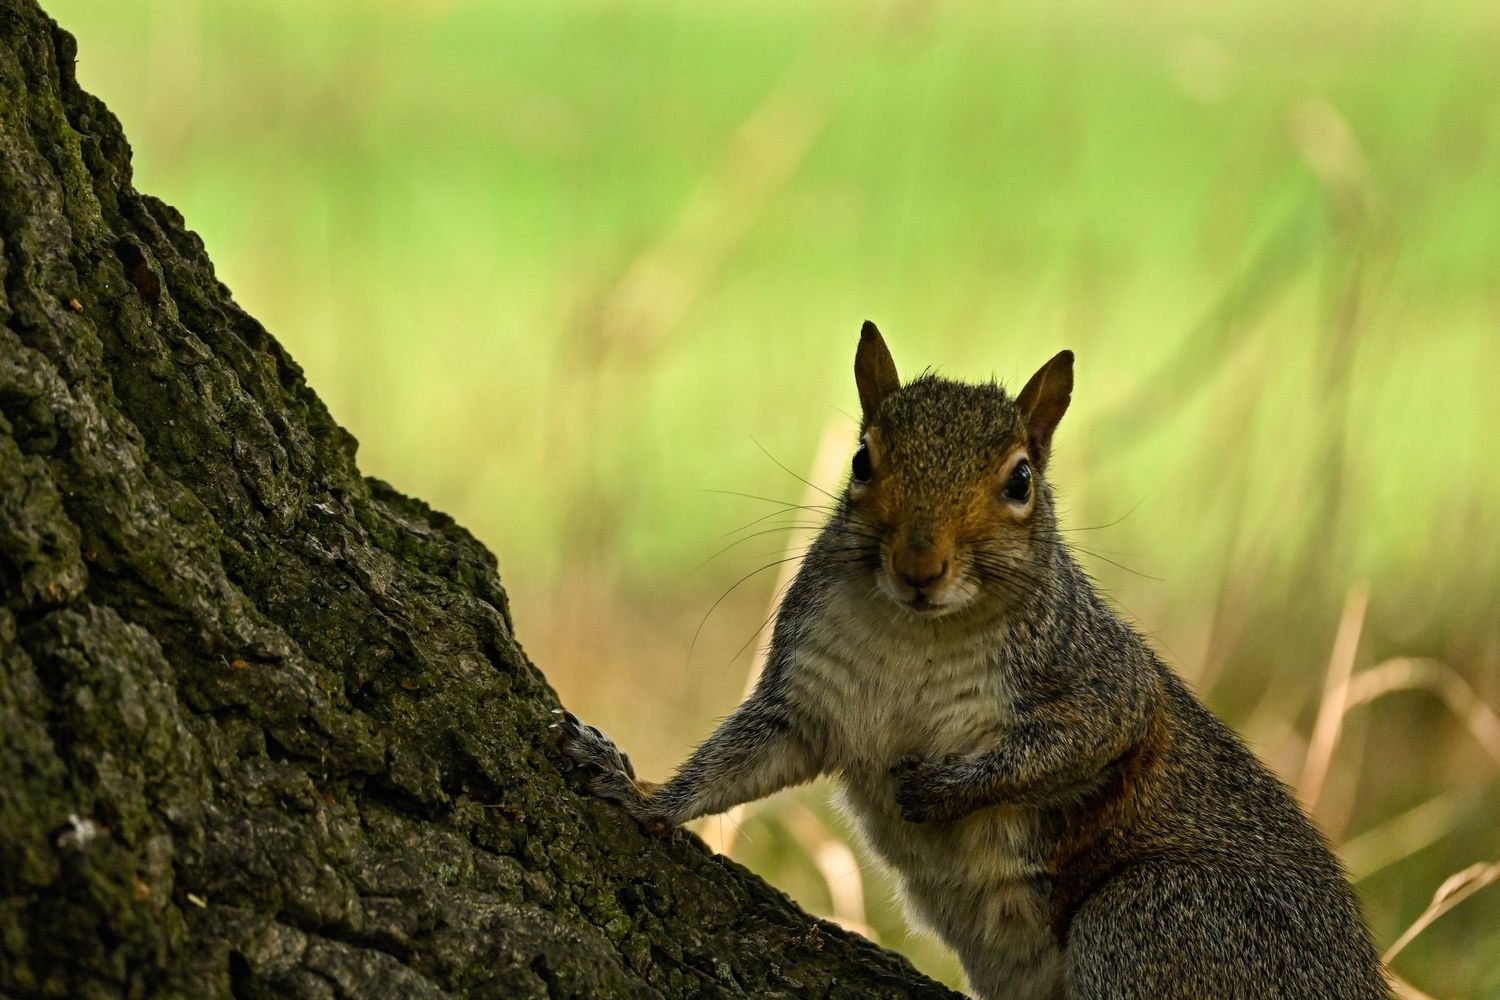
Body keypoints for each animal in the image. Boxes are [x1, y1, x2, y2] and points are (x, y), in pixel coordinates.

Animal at [560, 322, 1392, 1000]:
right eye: (862, 460)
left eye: (1021, 480)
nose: (919, 565)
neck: (917, 635)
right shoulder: (809, 696)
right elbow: (739, 761)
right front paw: (642, 795)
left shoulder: (1102, 682)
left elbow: (1074, 742)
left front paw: (939, 790)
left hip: (1158, 920)